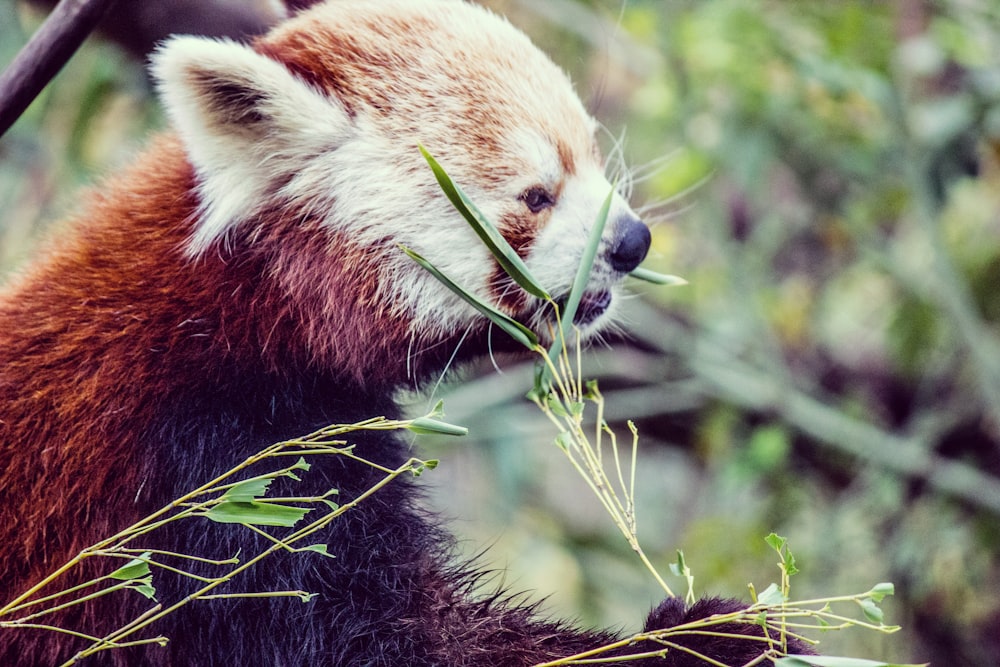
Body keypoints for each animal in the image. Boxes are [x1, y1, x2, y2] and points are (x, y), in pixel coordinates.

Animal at [0, 2, 812, 664]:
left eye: (589, 152)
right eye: (535, 195)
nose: (632, 242)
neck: (242, 313)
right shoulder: (211, 469)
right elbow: (374, 638)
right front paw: (706, 638)